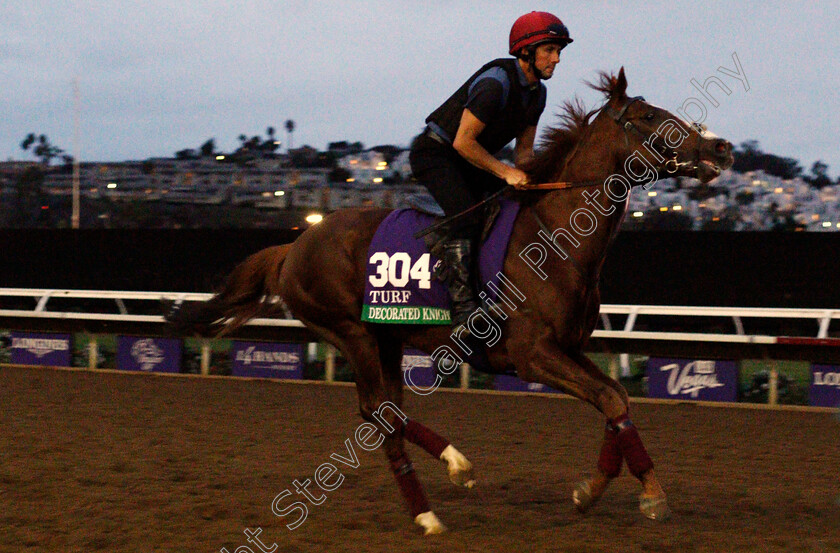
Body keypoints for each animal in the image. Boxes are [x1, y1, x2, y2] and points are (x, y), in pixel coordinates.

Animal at [171, 67, 736, 532]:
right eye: (649, 116)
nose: (722, 149)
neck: (555, 240)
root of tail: (295, 244)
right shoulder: (532, 354)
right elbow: (610, 399)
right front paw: (647, 495)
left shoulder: (569, 347)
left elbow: (615, 399)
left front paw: (596, 490)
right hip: (350, 332)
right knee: (378, 412)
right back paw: (443, 484)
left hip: (385, 337)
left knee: (382, 412)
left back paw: (439, 490)